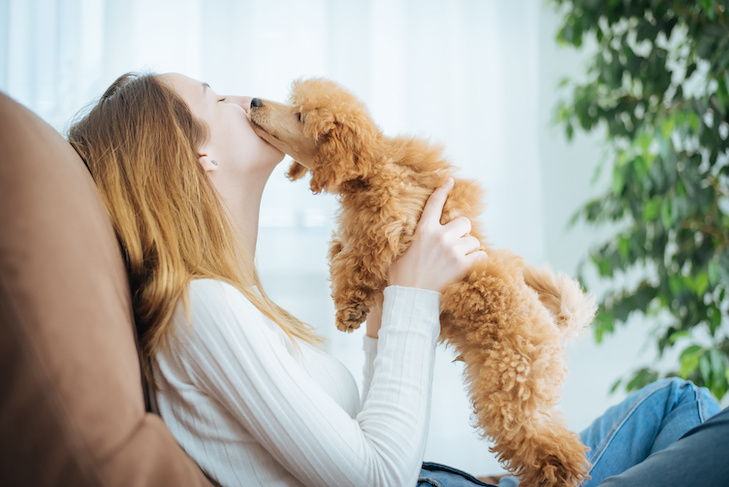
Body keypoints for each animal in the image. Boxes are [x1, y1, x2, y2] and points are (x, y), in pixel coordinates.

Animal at [250, 78, 596, 486]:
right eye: (294, 106)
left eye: (300, 116)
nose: (253, 101)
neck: (373, 168)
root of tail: (553, 330)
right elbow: (341, 250)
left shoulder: (392, 226)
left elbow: (358, 257)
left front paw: (349, 308)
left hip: (511, 390)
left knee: (556, 449)